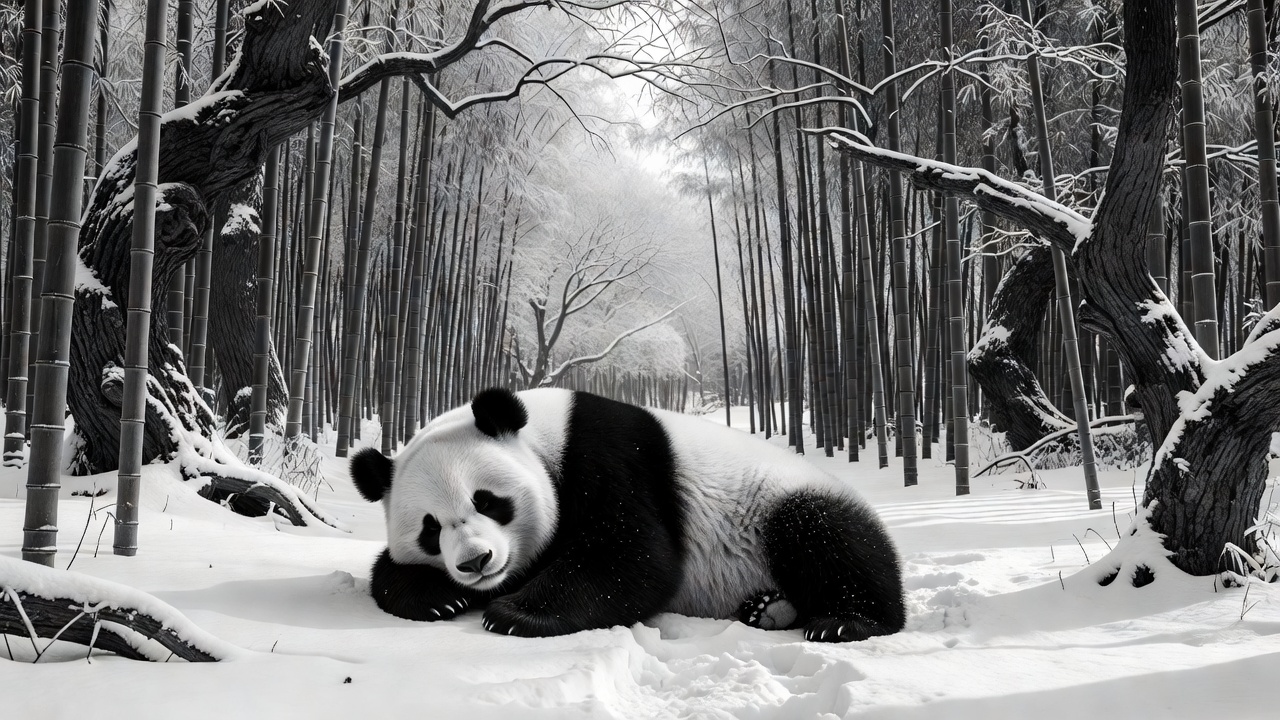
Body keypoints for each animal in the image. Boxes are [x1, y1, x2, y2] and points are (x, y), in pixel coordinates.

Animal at [351, 387, 905, 642]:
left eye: (487, 501)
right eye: (430, 529)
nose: (475, 562)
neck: (544, 436)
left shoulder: (610, 457)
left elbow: (633, 556)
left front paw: (515, 615)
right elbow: (386, 570)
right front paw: (439, 598)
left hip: (779, 500)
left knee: (828, 538)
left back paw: (843, 621)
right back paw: (765, 609)